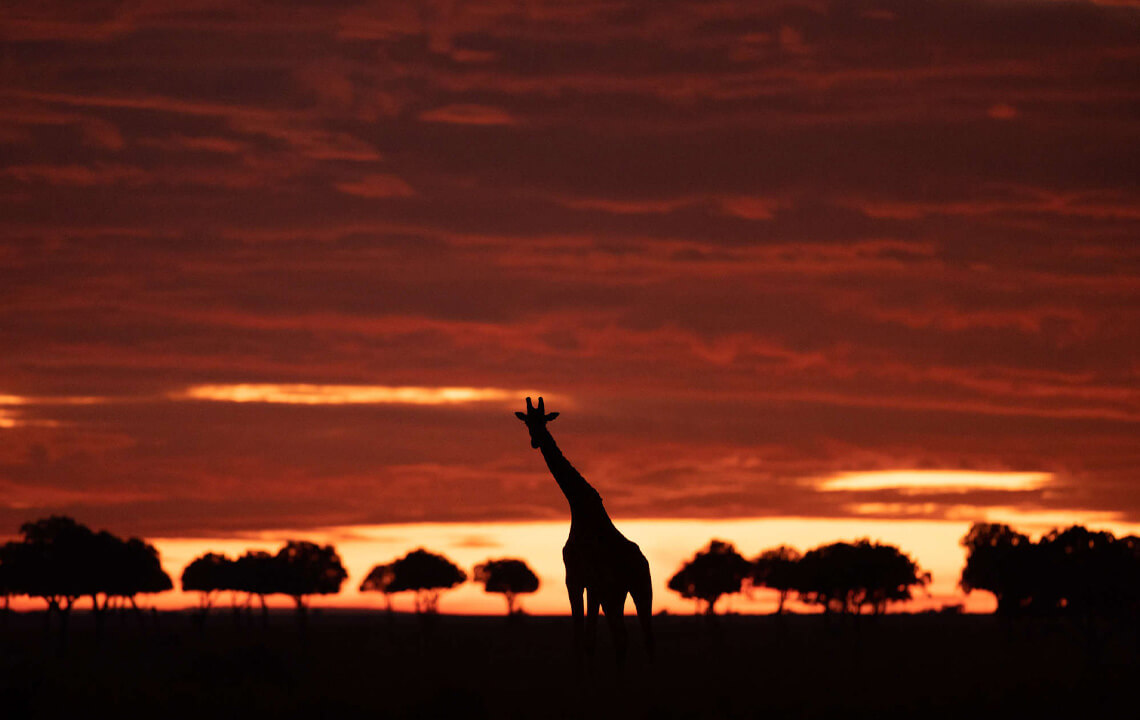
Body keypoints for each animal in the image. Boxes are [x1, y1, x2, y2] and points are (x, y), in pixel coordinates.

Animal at [516, 396, 654, 666]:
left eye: (544, 420)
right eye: (527, 422)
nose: (536, 441)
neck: (578, 505)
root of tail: (642, 562)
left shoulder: (576, 579)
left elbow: (580, 639)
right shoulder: (591, 584)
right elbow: (588, 641)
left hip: (629, 590)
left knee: (629, 637)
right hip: (627, 592)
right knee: (635, 638)